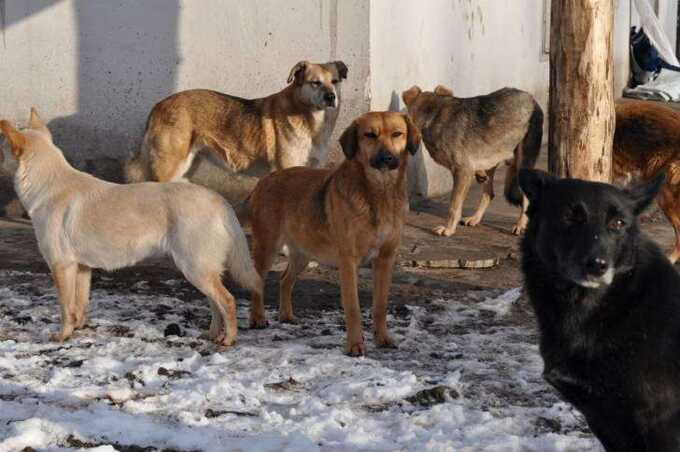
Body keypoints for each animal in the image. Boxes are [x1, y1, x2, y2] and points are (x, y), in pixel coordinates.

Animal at [0, 109, 262, 346]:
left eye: (1, 148)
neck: (49, 184)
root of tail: (219, 200)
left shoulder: (61, 266)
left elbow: (66, 308)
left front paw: (63, 336)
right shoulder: (82, 268)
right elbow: (80, 306)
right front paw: (79, 329)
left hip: (195, 268)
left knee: (227, 301)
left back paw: (229, 339)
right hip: (201, 271)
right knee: (215, 304)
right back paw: (212, 335)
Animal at [247, 111, 422, 354]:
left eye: (397, 134)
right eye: (369, 135)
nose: (387, 158)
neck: (379, 193)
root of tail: (265, 180)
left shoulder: (385, 259)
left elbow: (380, 305)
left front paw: (382, 338)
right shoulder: (348, 260)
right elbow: (352, 306)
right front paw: (355, 345)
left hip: (303, 253)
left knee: (285, 279)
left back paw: (286, 315)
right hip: (267, 246)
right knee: (258, 281)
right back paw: (257, 318)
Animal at [404, 83, 540, 237]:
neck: (432, 115)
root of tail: (531, 98)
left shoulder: (462, 171)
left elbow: (453, 206)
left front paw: (449, 229)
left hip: (522, 165)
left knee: (526, 197)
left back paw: (520, 225)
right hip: (492, 153)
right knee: (489, 193)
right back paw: (475, 218)